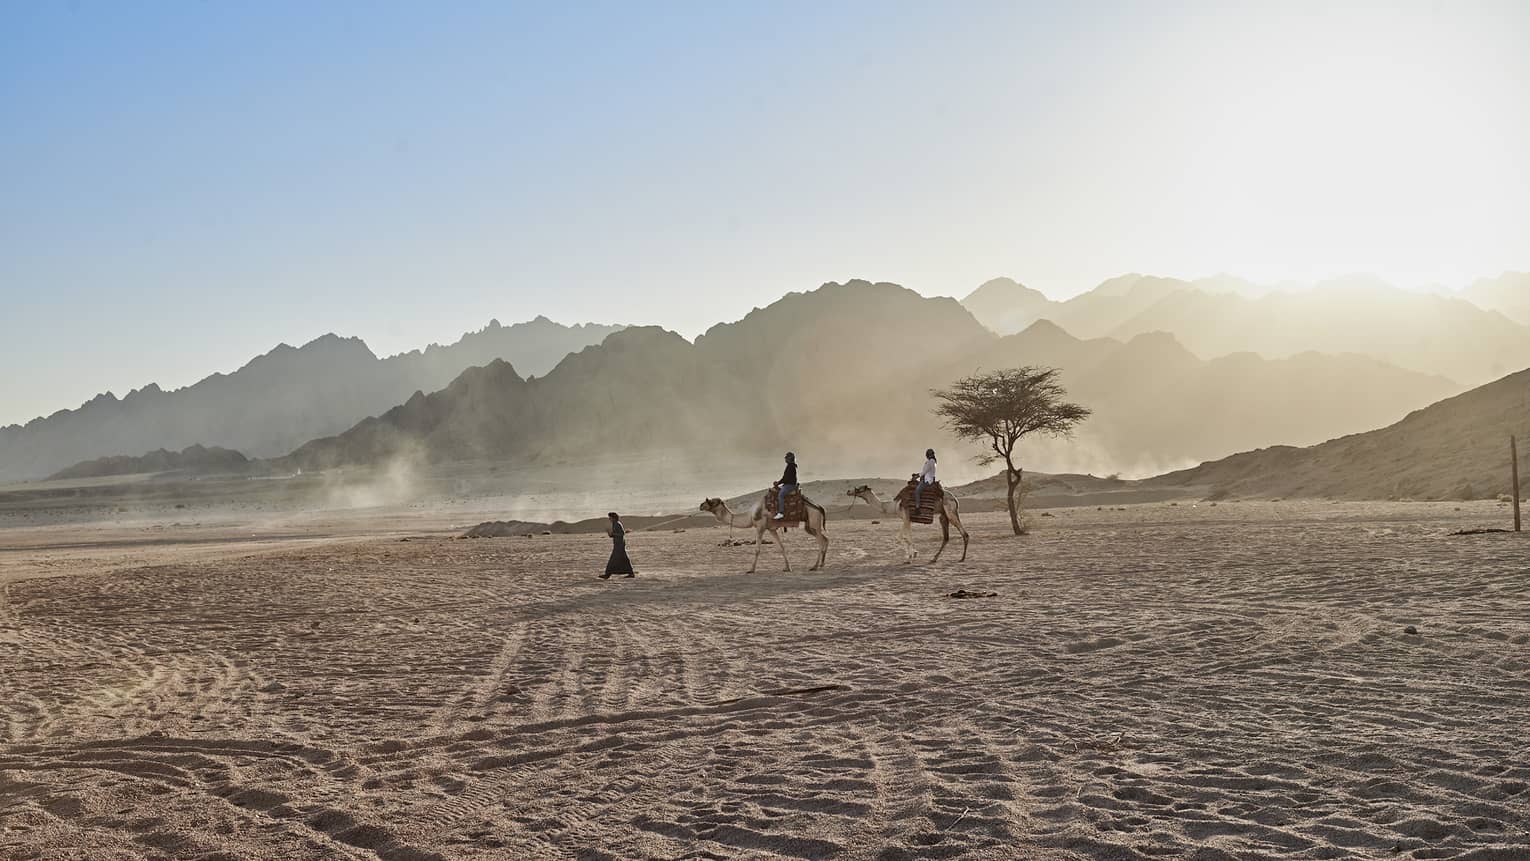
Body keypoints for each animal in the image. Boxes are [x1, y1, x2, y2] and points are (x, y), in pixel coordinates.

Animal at [699, 492, 829, 572]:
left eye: (712, 502)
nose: (701, 505)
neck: (750, 515)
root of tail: (819, 507)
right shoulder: (771, 529)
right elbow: (781, 547)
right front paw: (787, 568)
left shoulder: (760, 527)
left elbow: (757, 550)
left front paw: (751, 569)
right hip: (810, 526)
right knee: (825, 539)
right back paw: (821, 564)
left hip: (814, 520)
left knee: (820, 541)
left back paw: (814, 566)